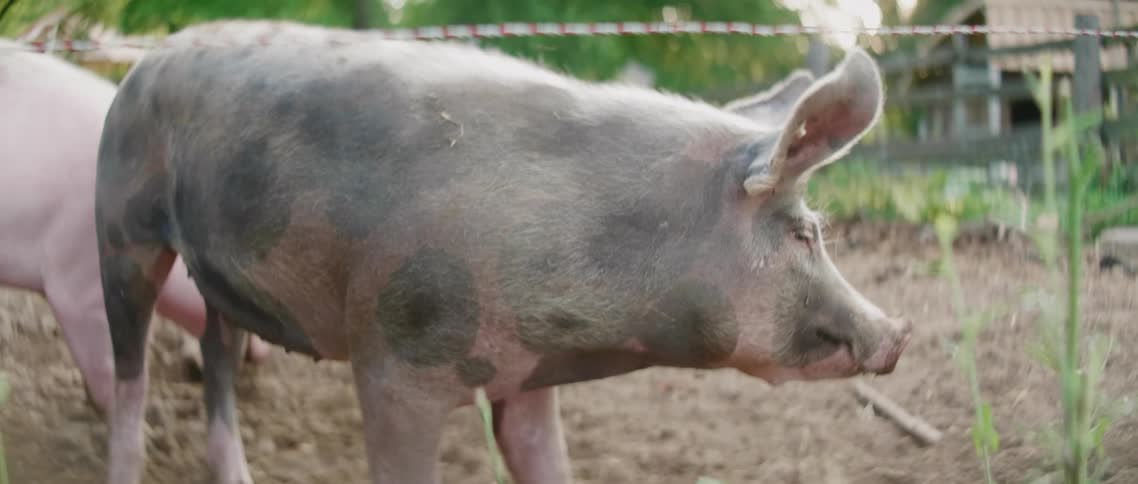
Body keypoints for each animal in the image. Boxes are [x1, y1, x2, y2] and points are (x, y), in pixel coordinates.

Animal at [94, 37, 911, 484]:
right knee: (129, 365)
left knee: (217, 348)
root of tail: (146, 63)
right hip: (120, 225)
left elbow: (542, 457)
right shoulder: (393, 362)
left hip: (221, 273)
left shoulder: (526, 375)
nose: (899, 332)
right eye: (805, 234)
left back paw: (240, 474)